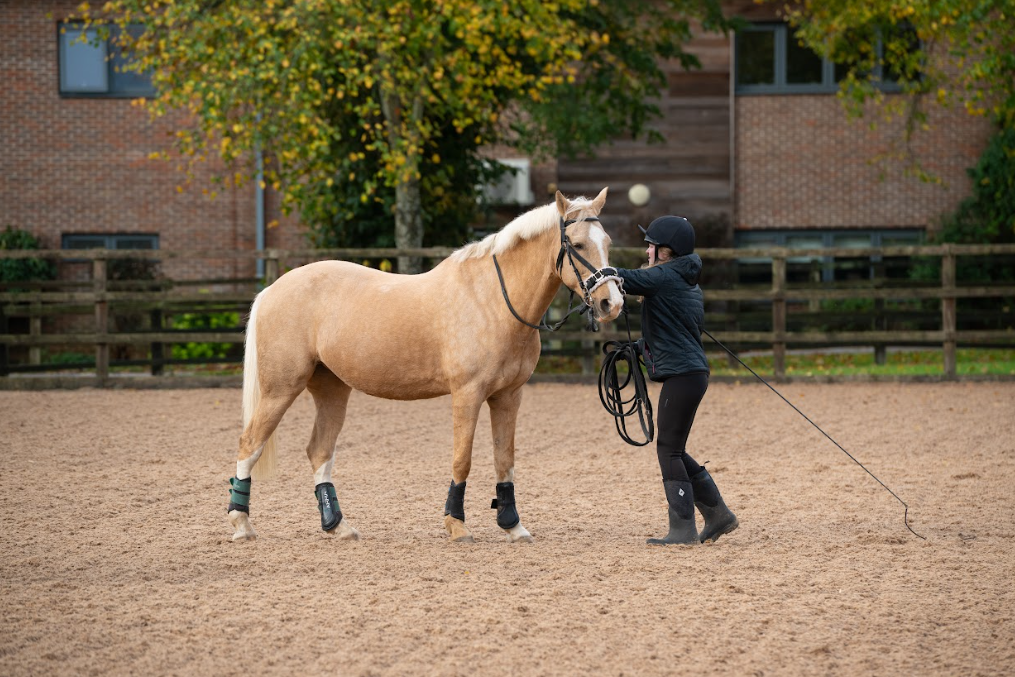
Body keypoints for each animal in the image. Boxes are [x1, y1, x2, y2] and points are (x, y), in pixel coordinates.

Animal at [226, 187, 624, 543]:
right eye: (577, 244)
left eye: (607, 240)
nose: (612, 303)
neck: (493, 299)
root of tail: (272, 289)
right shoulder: (467, 395)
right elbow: (462, 459)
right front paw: (457, 526)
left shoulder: (509, 396)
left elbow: (504, 458)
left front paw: (512, 526)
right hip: (281, 389)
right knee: (249, 443)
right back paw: (242, 524)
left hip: (331, 390)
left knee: (319, 451)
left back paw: (337, 526)